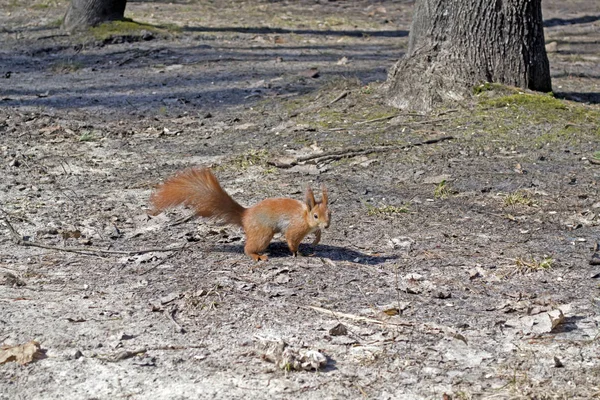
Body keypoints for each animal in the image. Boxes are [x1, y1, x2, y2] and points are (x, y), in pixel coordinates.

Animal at [148, 166, 330, 262]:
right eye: (315, 216)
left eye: (330, 213)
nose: (327, 225)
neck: (305, 216)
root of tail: (245, 214)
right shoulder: (295, 228)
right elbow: (292, 241)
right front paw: (299, 253)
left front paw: (317, 238)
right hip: (262, 233)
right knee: (247, 248)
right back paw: (257, 255)